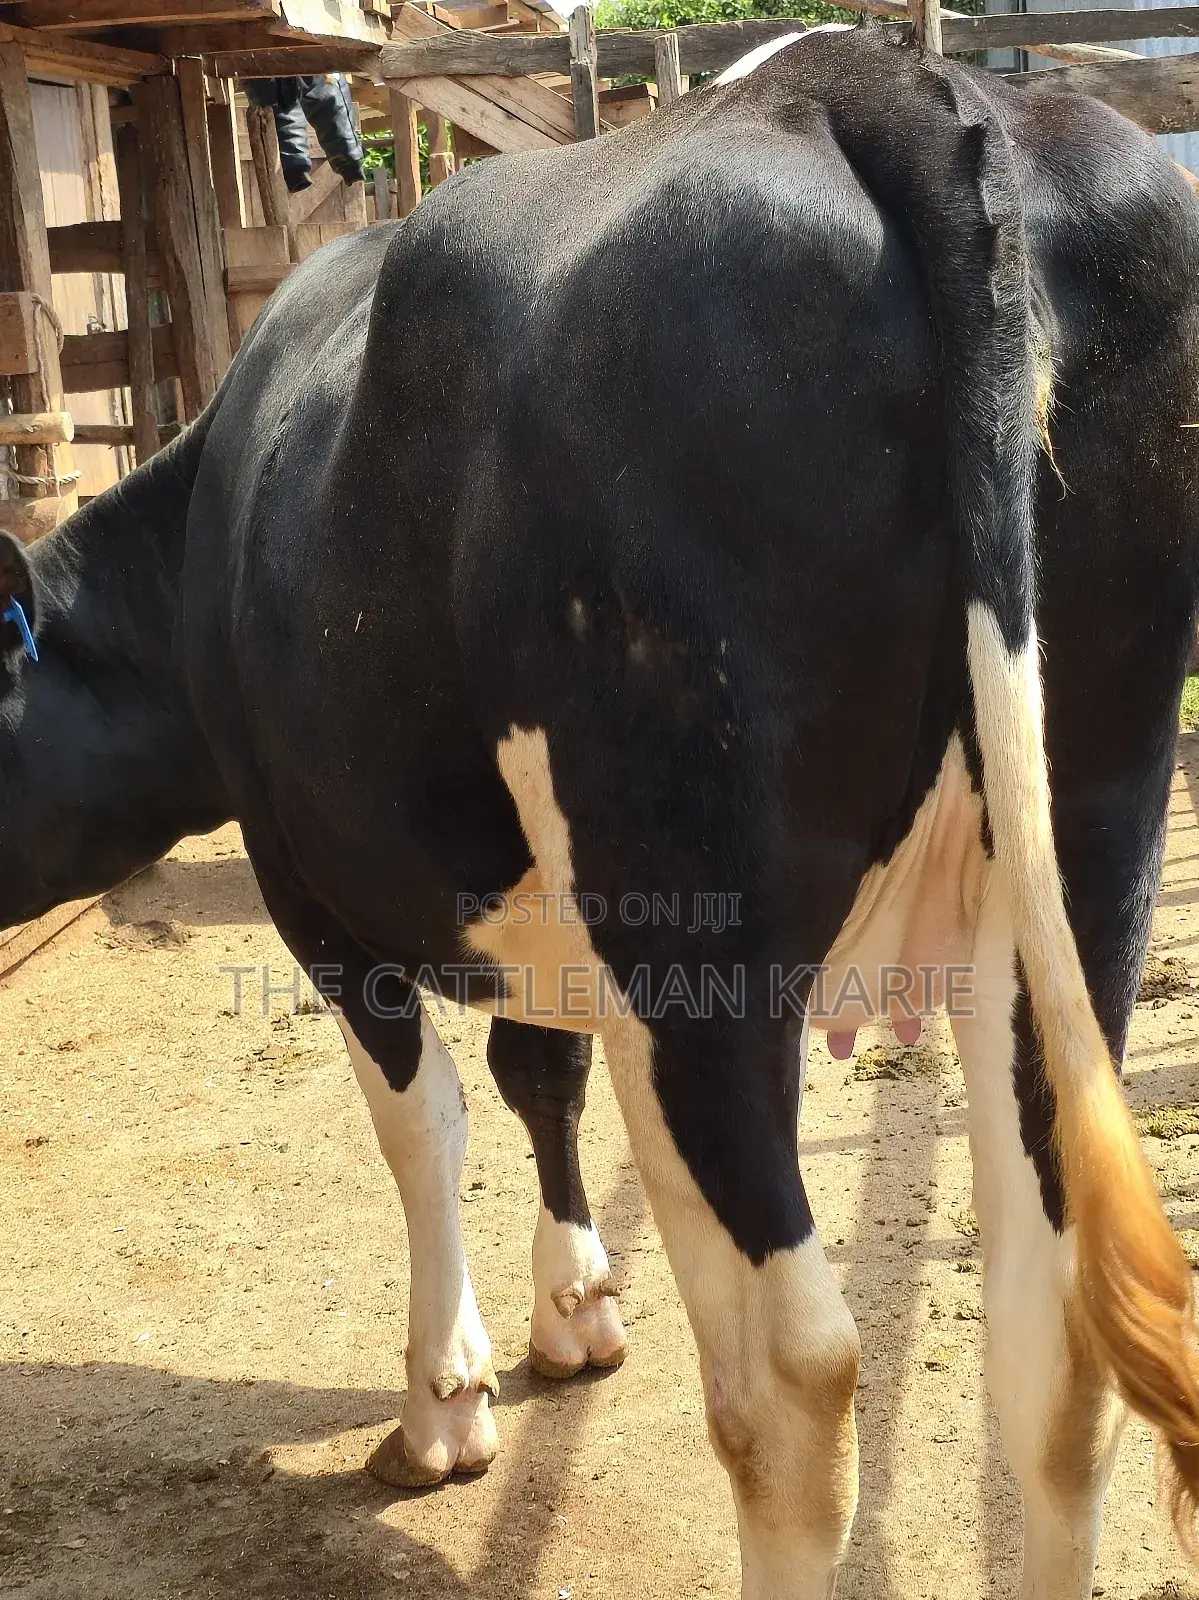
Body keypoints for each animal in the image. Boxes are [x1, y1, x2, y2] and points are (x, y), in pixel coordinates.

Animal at [3, 21, 1199, 1596]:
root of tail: (870, 79)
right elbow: (535, 1070)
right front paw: (572, 1307)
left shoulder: (308, 881)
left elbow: (427, 1119)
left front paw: (442, 1402)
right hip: (1075, 864)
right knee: (1053, 1347)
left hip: (686, 930)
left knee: (792, 1375)